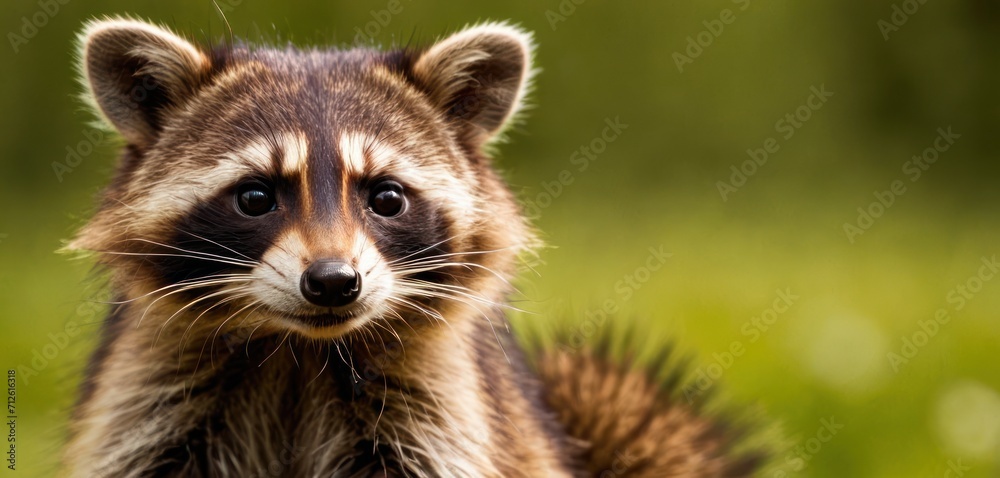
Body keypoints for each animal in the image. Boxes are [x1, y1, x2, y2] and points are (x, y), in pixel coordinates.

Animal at [66, 16, 760, 478]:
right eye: (256, 197)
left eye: (387, 197)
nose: (332, 281)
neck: (299, 354)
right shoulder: (149, 397)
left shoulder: (441, 406)